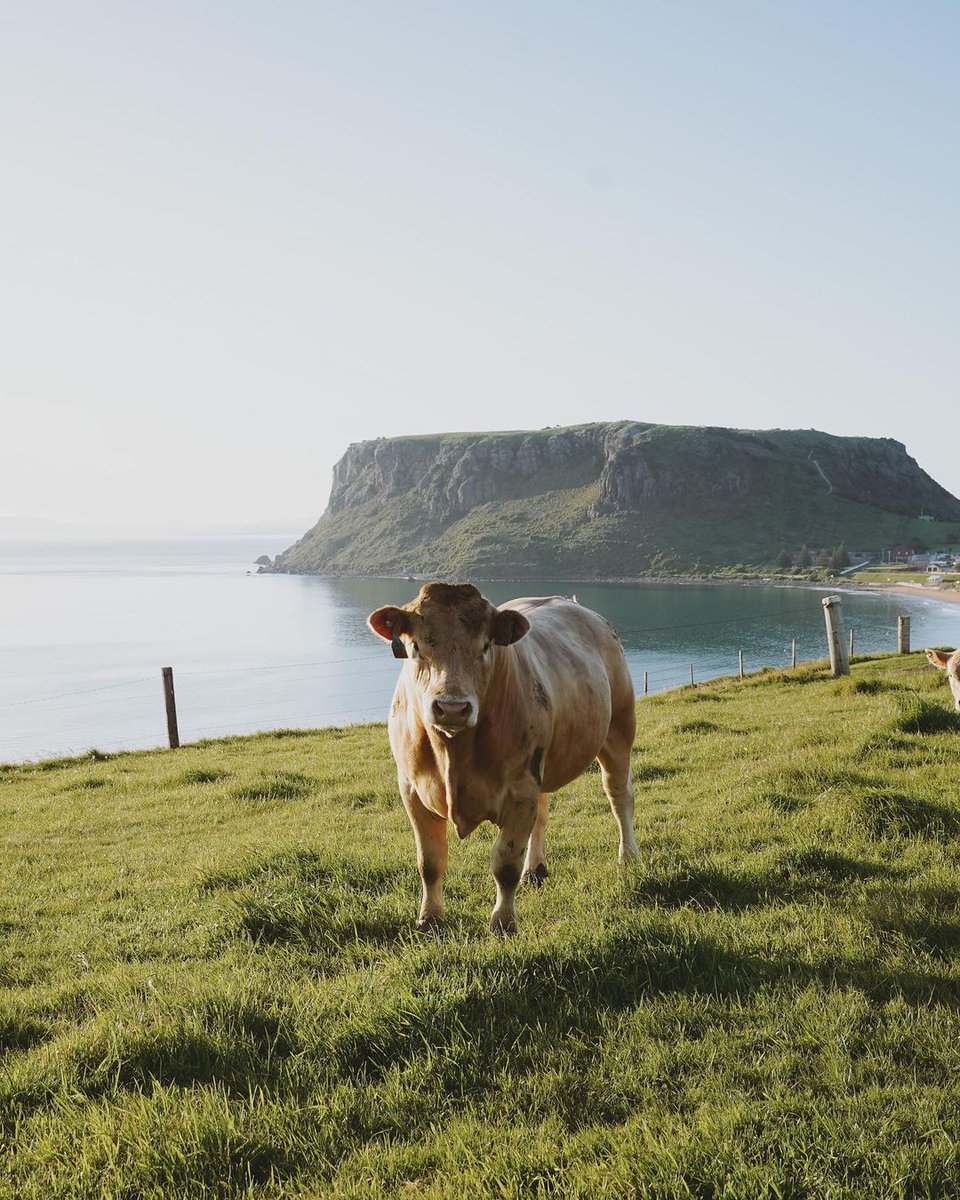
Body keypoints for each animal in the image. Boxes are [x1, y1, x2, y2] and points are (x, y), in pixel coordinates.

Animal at [367, 585, 638, 931]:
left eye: (486, 645)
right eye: (415, 646)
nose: (452, 708)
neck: (453, 754)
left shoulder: (520, 792)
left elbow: (505, 864)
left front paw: (503, 922)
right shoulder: (412, 790)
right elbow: (430, 861)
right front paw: (430, 919)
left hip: (619, 728)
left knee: (619, 796)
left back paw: (628, 857)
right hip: (542, 765)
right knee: (544, 813)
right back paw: (535, 869)